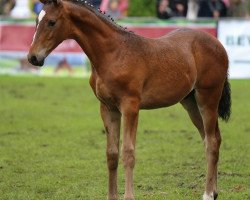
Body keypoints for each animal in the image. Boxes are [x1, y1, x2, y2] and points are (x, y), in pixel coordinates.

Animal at [27, 0, 230, 199]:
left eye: (51, 22)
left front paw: (129, 196)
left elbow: (128, 152)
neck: (113, 54)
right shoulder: (108, 108)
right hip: (190, 103)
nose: (33, 57)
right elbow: (112, 154)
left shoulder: (130, 106)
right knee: (211, 139)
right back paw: (214, 190)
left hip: (208, 98)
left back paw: (208, 193)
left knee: (212, 142)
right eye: (37, 20)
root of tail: (217, 43)